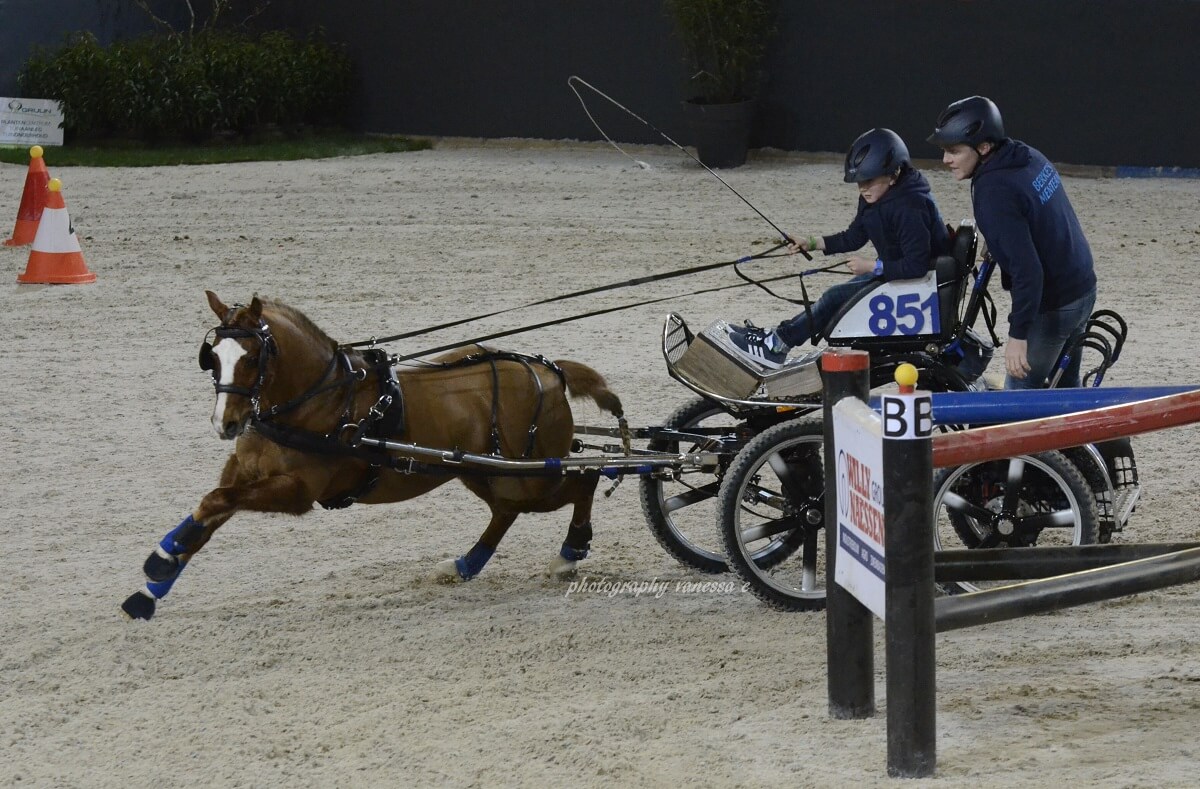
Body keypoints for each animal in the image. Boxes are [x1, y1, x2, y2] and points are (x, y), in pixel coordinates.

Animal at [120, 291, 624, 618]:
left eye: (251, 357)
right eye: (214, 356)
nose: (225, 423)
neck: (318, 398)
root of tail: (552, 372)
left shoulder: (297, 492)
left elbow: (214, 503)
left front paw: (160, 562)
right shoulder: (243, 469)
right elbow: (210, 511)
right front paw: (153, 586)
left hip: (532, 472)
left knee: (584, 479)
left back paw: (570, 550)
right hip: (483, 471)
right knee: (507, 510)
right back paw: (465, 564)